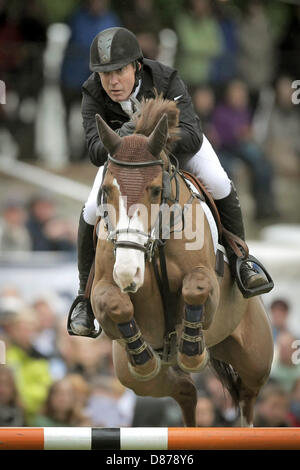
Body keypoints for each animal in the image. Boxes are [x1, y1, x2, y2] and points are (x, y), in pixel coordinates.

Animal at [89, 94, 274, 426]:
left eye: (155, 190)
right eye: (106, 190)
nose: (127, 272)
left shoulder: (207, 283)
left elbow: (194, 288)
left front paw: (191, 351)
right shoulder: (103, 291)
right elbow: (115, 303)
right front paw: (144, 356)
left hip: (255, 355)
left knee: (247, 393)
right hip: (136, 380)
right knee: (186, 389)